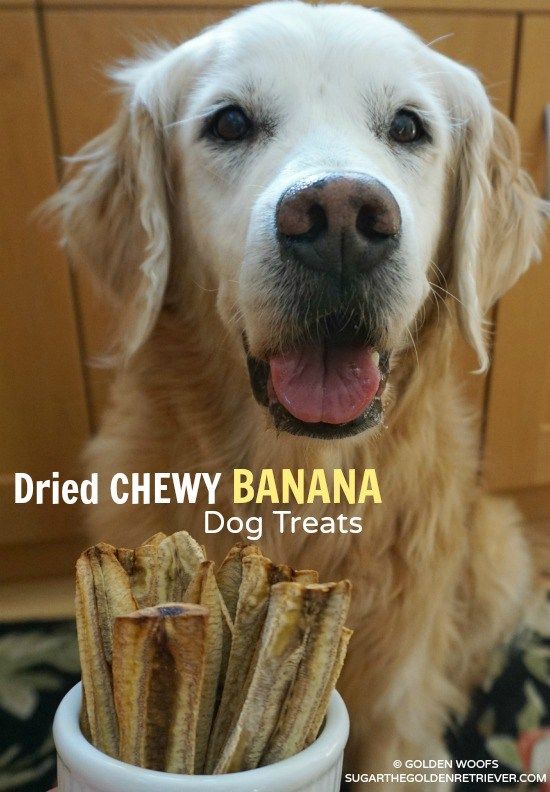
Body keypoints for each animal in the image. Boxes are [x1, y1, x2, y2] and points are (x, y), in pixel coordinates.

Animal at [50, 3, 548, 784]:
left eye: (408, 127)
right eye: (229, 122)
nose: (340, 217)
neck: (299, 482)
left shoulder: (396, 718)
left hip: (498, 552)